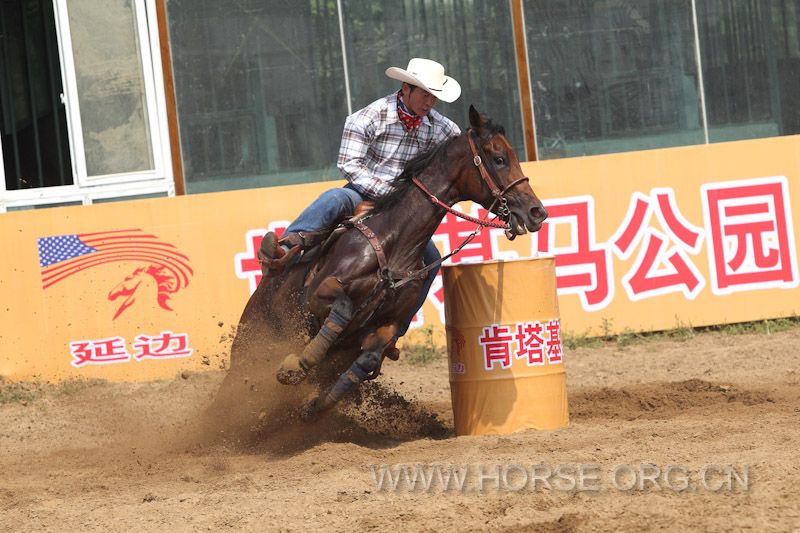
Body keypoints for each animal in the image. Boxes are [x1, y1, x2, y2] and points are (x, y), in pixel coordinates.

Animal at [216, 106, 548, 426]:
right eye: (499, 158)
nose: (537, 212)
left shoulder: (385, 326)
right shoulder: (316, 295)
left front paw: (312, 407)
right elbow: (344, 306)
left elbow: (367, 361)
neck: (394, 242)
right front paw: (295, 365)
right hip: (249, 347)